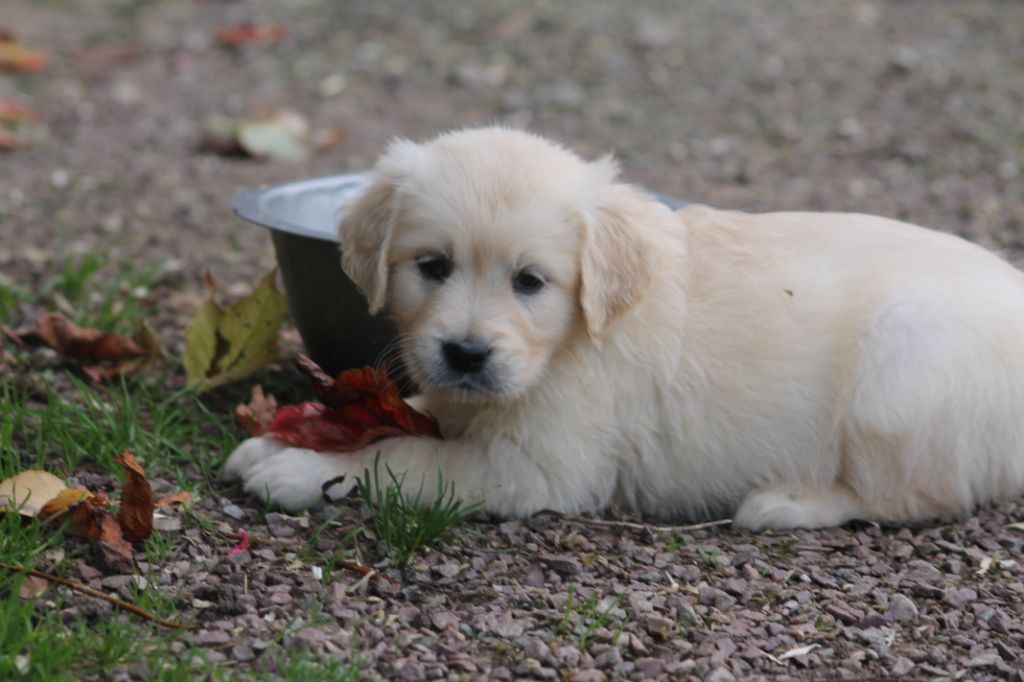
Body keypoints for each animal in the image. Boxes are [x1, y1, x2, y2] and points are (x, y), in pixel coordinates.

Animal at [224, 129, 1024, 532]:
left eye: (530, 282)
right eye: (432, 266)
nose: (466, 353)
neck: (571, 341)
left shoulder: (538, 467)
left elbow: (404, 456)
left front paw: (301, 471)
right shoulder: (466, 402)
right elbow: (407, 419)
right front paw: (288, 441)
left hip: (902, 368)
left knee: (919, 497)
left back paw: (787, 502)